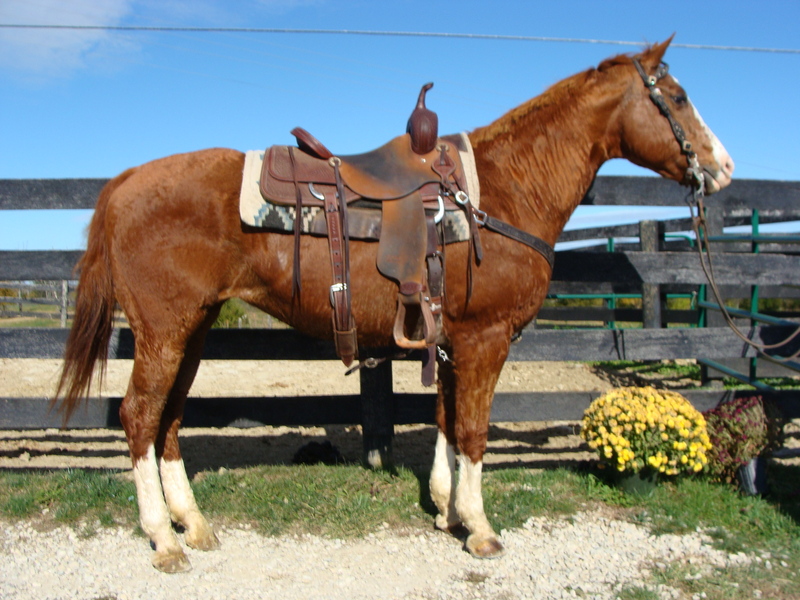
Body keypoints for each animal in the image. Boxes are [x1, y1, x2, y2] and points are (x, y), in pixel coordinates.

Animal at [55, 37, 733, 572]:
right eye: (676, 97)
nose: (723, 167)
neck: (502, 190)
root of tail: (126, 182)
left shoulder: (452, 340)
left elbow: (446, 420)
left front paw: (445, 510)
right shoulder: (485, 339)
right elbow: (474, 430)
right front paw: (479, 528)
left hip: (191, 331)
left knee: (167, 418)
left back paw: (192, 525)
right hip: (165, 330)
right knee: (139, 415)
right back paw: (163, 540)